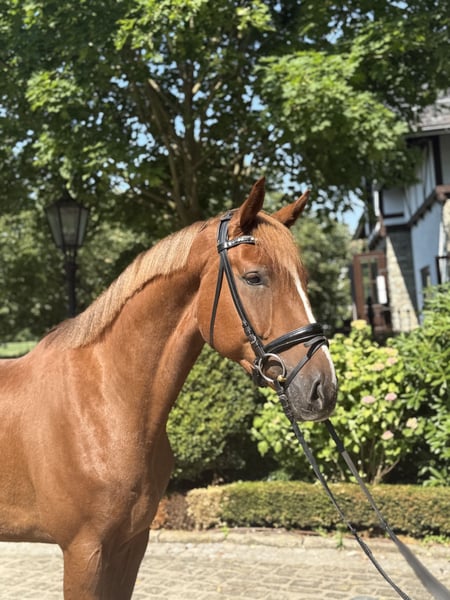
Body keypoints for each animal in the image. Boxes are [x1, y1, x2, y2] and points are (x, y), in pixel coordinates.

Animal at [0, 177, 337, 599]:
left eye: (304, 281)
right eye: (254, 277)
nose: (323, 388)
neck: (103, 404)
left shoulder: (131, 543)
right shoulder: (84, 550)